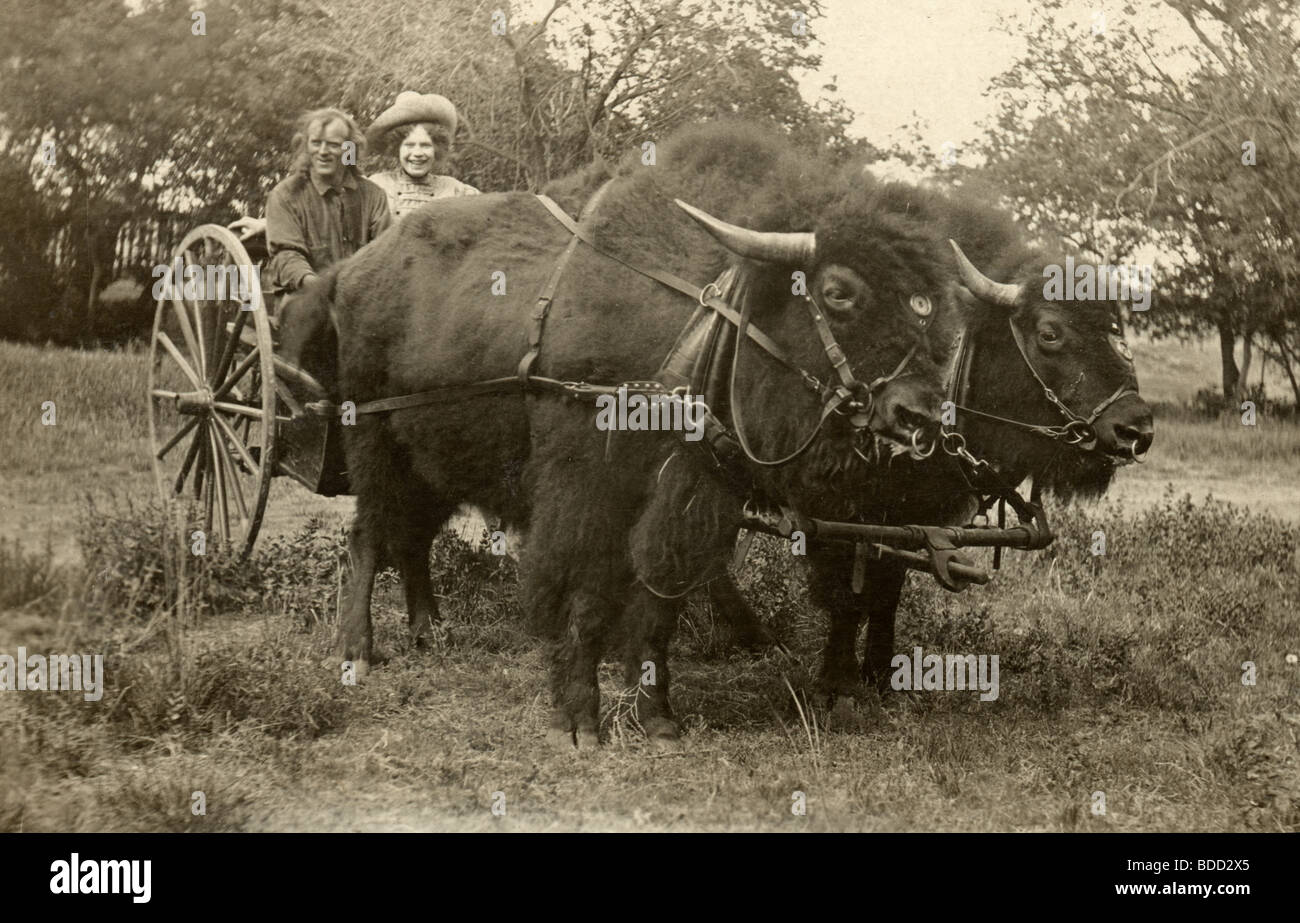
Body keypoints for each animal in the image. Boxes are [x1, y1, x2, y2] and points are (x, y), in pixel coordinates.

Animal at [282, 122, 982, 748]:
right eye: (838, 293)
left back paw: (431, 634)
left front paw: (658, 718)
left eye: (931, 306)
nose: (920, 415)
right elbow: (585, 600)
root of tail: (352, 271)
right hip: (373, 440)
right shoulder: (589, 493)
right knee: (370, 536)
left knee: (414, 539)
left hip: (435, 459)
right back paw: (356, 652)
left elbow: (656, 606)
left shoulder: (691, 501)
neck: (707, 321)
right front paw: (578, 722)